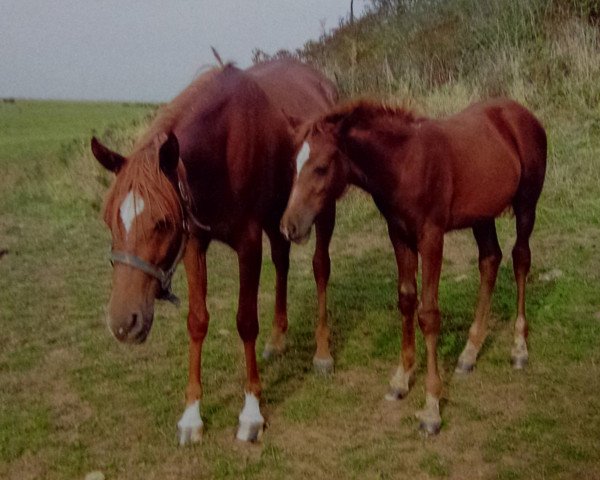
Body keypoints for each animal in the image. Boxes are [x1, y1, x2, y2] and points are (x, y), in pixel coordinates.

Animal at [92, 58, 338, 444]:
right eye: (109, 219)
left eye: (162, 222)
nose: (123, 323)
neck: (222, 148)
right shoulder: (194, 243)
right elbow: (197, 321)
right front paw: (192, 416)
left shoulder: (248, 244)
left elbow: (246, 322)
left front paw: (251, 412)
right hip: (277, 216)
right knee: (282, 260)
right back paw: (277, 338)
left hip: (321, 210)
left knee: (320, 267)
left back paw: (323, 352)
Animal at [278, 98, 548, 436]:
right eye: (293, 165)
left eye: (322, 167)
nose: (289, 226)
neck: (404, 163)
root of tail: (523, 114)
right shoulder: (399, 235)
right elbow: (406, 300)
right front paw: (401, 378)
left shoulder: (431, 237)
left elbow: (428, 314)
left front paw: (431, 408)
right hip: (482, 215)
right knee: (490, 260)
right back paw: (469, 352)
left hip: (526, 205)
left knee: (521, 259)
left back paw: (519, 348)